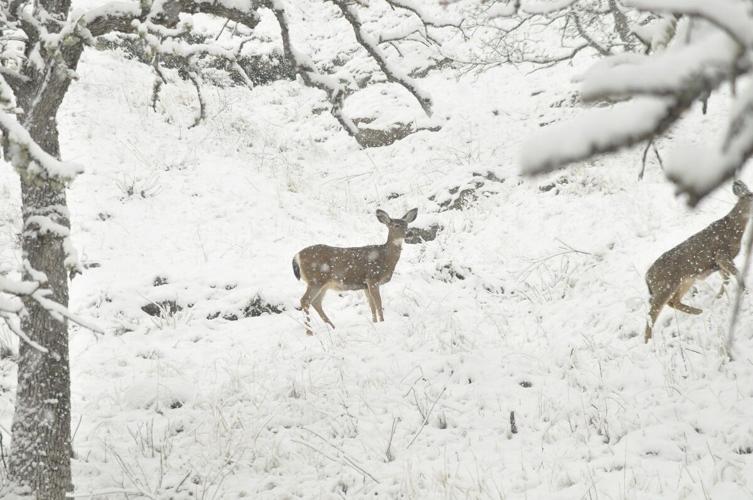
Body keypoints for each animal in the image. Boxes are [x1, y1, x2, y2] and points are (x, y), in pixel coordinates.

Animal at [644, 180, 753, 342]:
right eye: (752, 196)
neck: (734, 228)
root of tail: (647, 277)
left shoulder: (719, 263)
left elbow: (726, 280)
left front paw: (717, 299)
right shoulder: (722, 255)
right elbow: (736, 275)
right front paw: (745, 292)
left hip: (685, 281)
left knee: (673, 302)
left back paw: (699, 311)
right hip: (665, 286)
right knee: (653, 312)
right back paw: (648, 342)